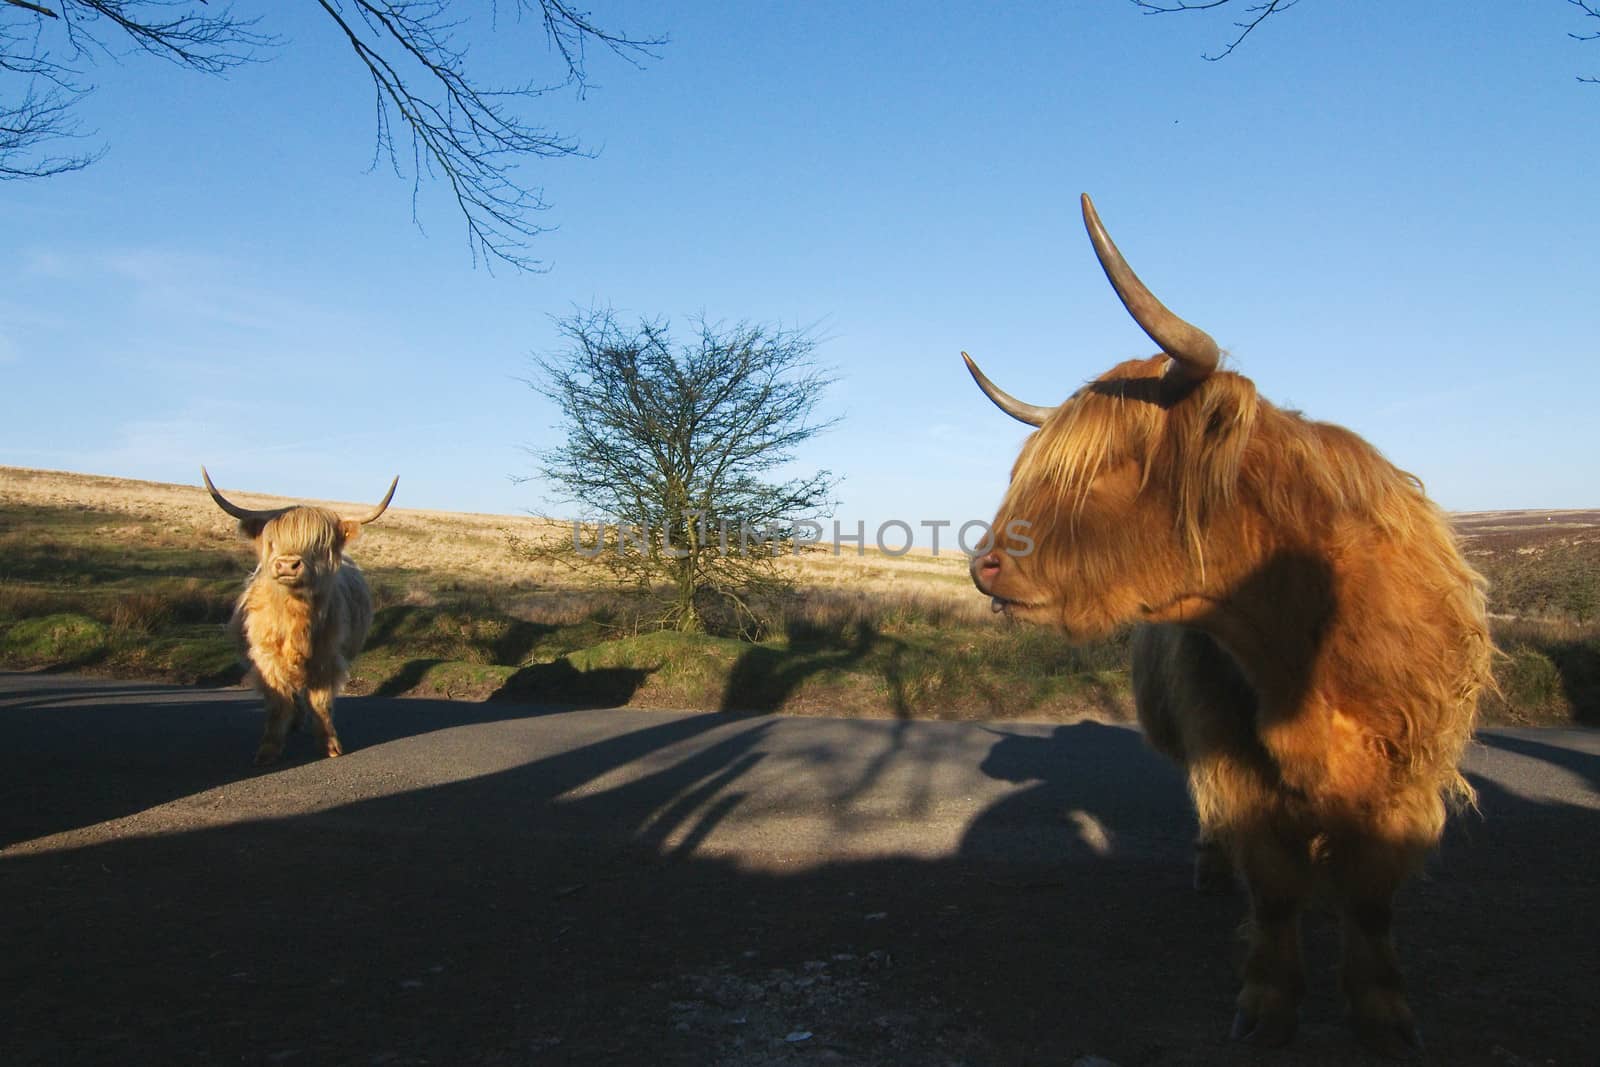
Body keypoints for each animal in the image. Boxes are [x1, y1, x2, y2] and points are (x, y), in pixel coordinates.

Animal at [204, 470, 398, 764]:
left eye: (317, 544)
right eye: (272, 541)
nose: (287, 564)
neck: (296, 617)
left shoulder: (327, 659)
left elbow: (320, 702)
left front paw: (330, 745)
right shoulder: (266, 658)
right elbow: (278, 702)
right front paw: (269, 749)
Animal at [953, 195, 1491, 1055]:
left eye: (1109, 466)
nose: (986, 565)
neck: (1301, 639)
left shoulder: (1405, 768)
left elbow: (1371, 895)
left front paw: (1381, 1008)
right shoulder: (1232, 756)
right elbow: (1271, 887)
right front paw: (1269, 1002)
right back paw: (1210, 868)